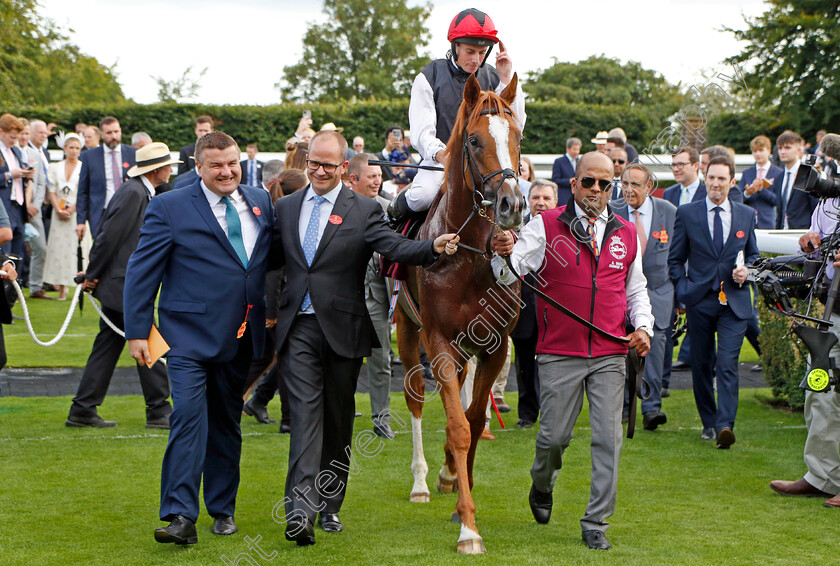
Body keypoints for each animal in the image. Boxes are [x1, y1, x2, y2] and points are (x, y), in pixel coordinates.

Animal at [398, 72, 520, 556]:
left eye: (518, 137)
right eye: (473, 140)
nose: (512, 204)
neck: (467, 254)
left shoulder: (495, 344)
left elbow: (473, 420)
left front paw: (460, 493)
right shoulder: (438, 341)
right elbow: (456, 426)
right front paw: (469, 529)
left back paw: (449, 475)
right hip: (407, 332)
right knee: (414, 398)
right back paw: (419, 483)